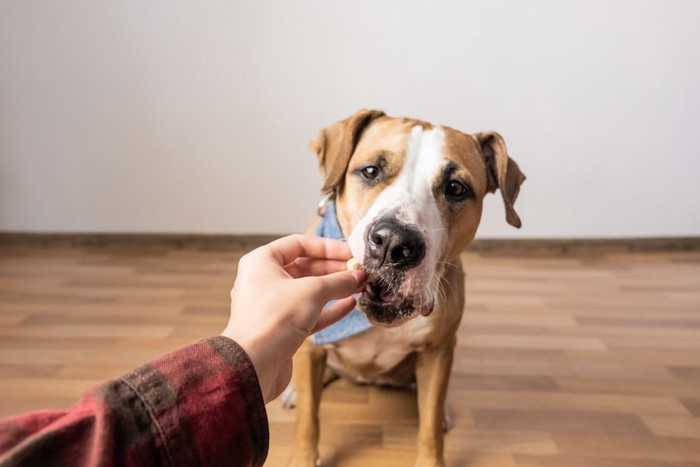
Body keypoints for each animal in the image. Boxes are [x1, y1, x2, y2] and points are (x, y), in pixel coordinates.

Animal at [286, 110, 524, 467]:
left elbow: (429, 423)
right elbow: (308, 419)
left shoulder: (438, 351)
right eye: (371, 171)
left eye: (456, 188)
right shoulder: (311, 345)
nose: (393, 243)